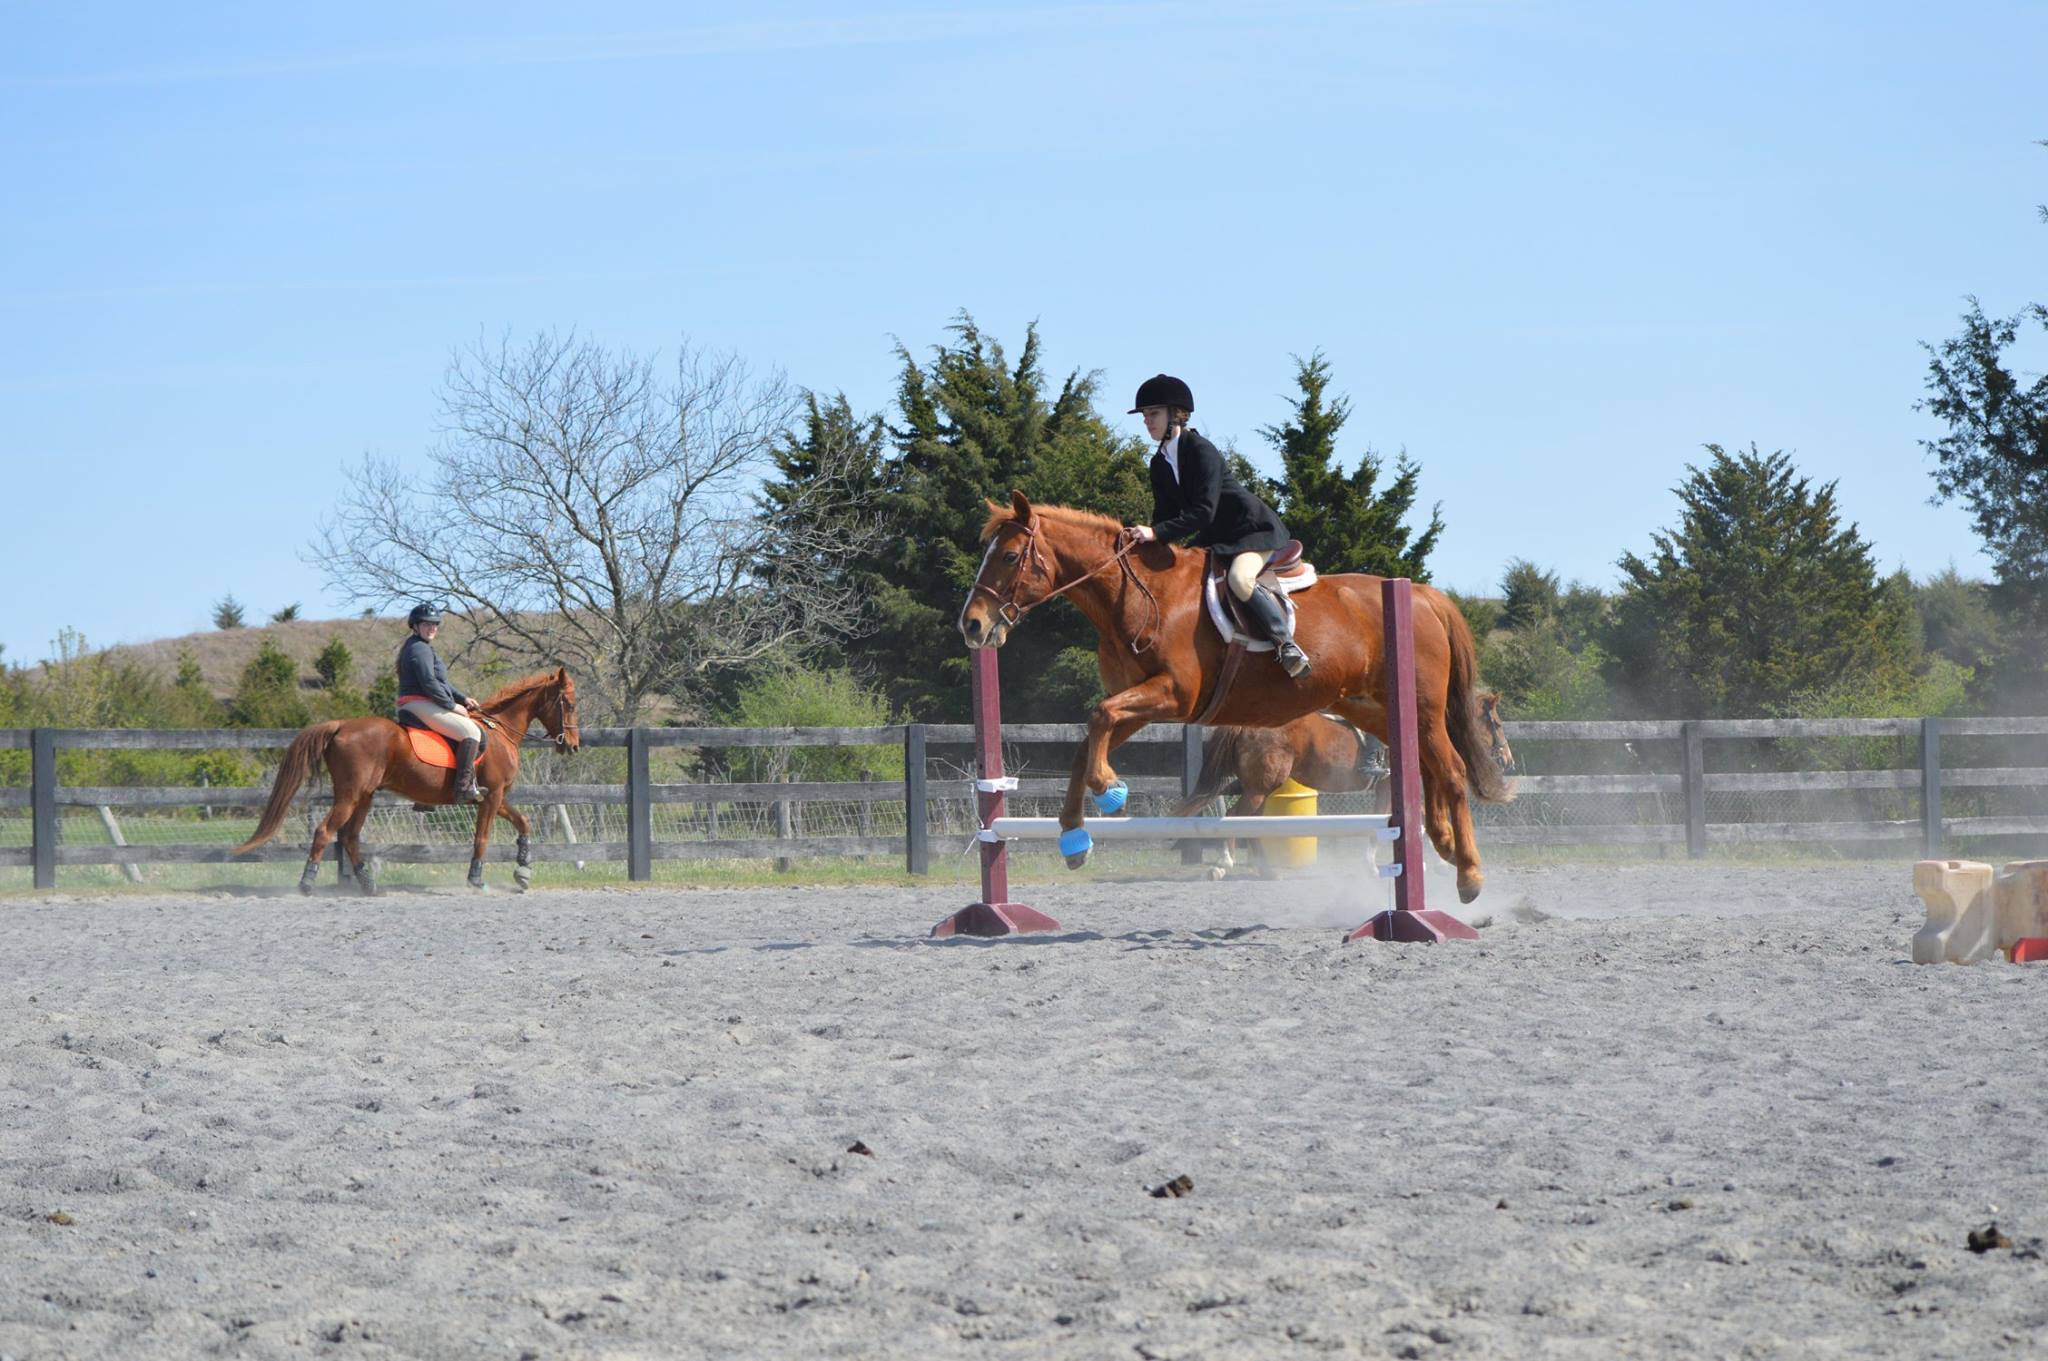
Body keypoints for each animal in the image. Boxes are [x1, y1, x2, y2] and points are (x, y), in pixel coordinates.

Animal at [232, 668, 581, 894]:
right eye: (571, 703)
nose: (574, 746)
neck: (500, 731)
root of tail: (341, 725)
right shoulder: (492, 796)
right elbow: (481, 838)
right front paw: (476, 879)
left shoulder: (495, 796)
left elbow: (524, 823)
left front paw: (523, 871)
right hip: (350, 795)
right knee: (325, 832)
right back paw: (307, 883)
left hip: (365, 796)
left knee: (349, 837)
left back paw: (368, 884)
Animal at [1173, 699, 1516, 878]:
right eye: (1497, 724)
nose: (1508, 760)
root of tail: (1246, 724)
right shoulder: (1388, 785)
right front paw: (1380, 864)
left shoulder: (1388, 788)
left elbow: (1411, 822)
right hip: (1261, 786)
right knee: (1236, 817)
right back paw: (1224, 865)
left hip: (1259, 787)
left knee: (1253, 822)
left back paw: (1266, 869)